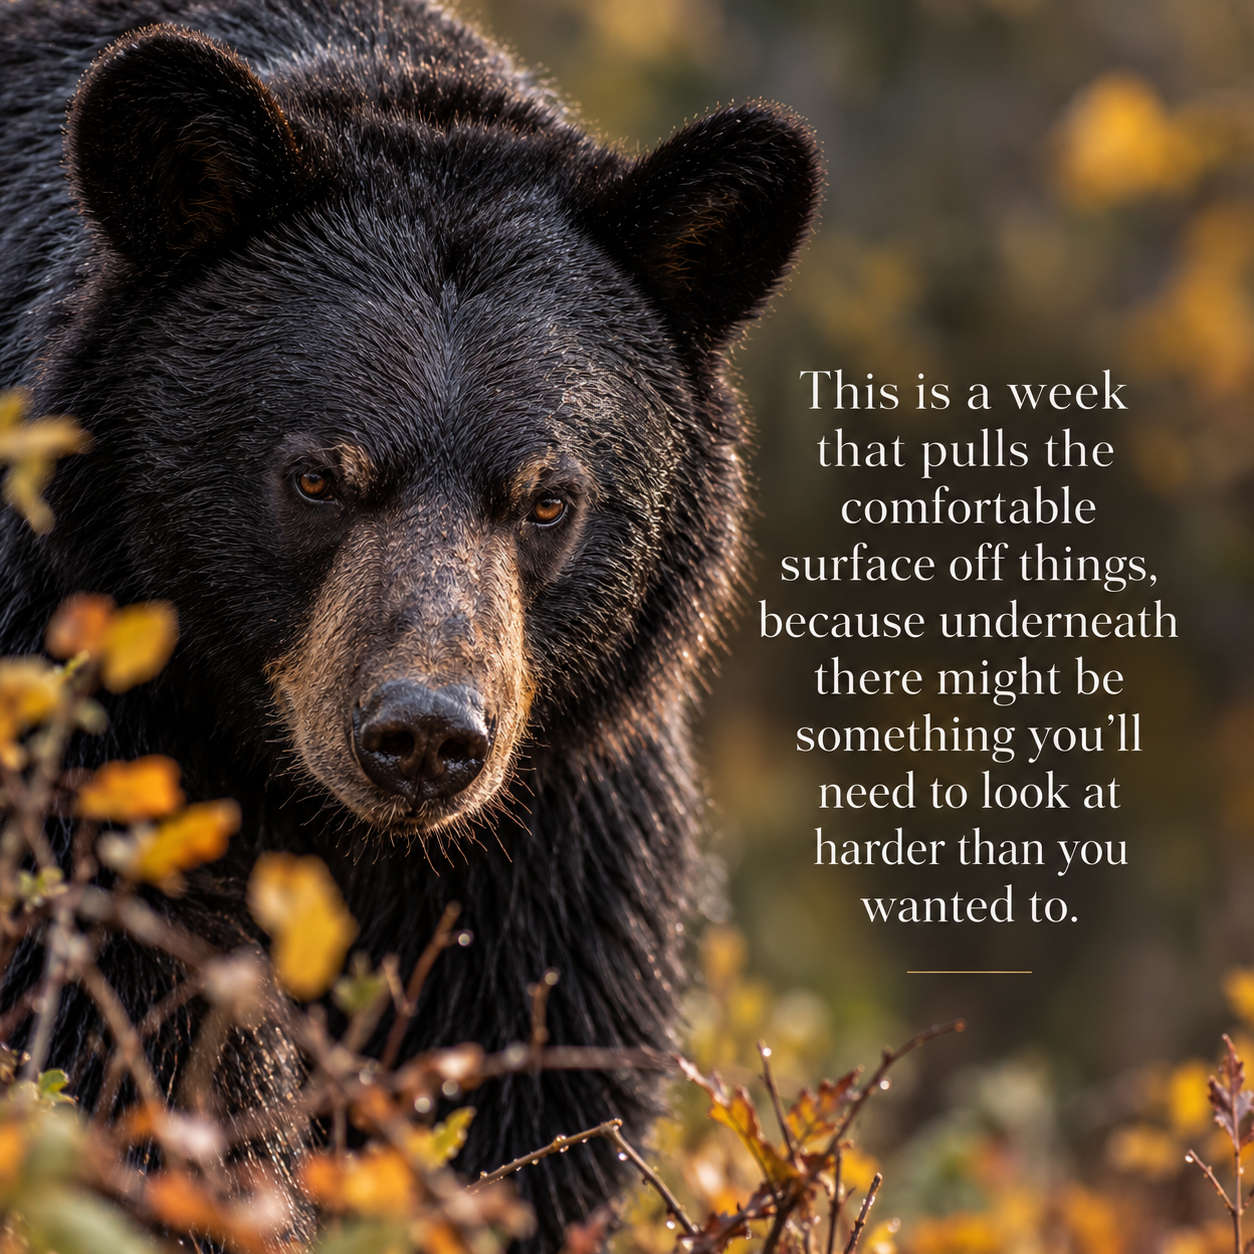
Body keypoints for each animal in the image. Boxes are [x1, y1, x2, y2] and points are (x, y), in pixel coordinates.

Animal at [0, 0, 820, 1247]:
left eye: (548, 497)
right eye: (317, 477)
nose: (426, 736)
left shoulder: (548, 834)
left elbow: (522, 1092)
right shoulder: (79, 726)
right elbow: (133, 1037)